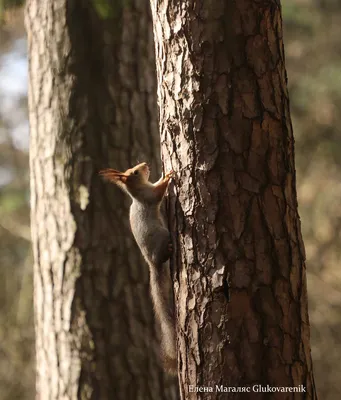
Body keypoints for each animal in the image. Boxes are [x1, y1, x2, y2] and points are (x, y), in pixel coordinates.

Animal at [99, 162, 175, 376]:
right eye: (134, 172)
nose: (145, 164)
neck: (138, 190)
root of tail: (152, 263)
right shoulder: (148, 196)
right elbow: (158, 193)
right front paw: (168, 176)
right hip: (162, 237)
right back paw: (169, 249)